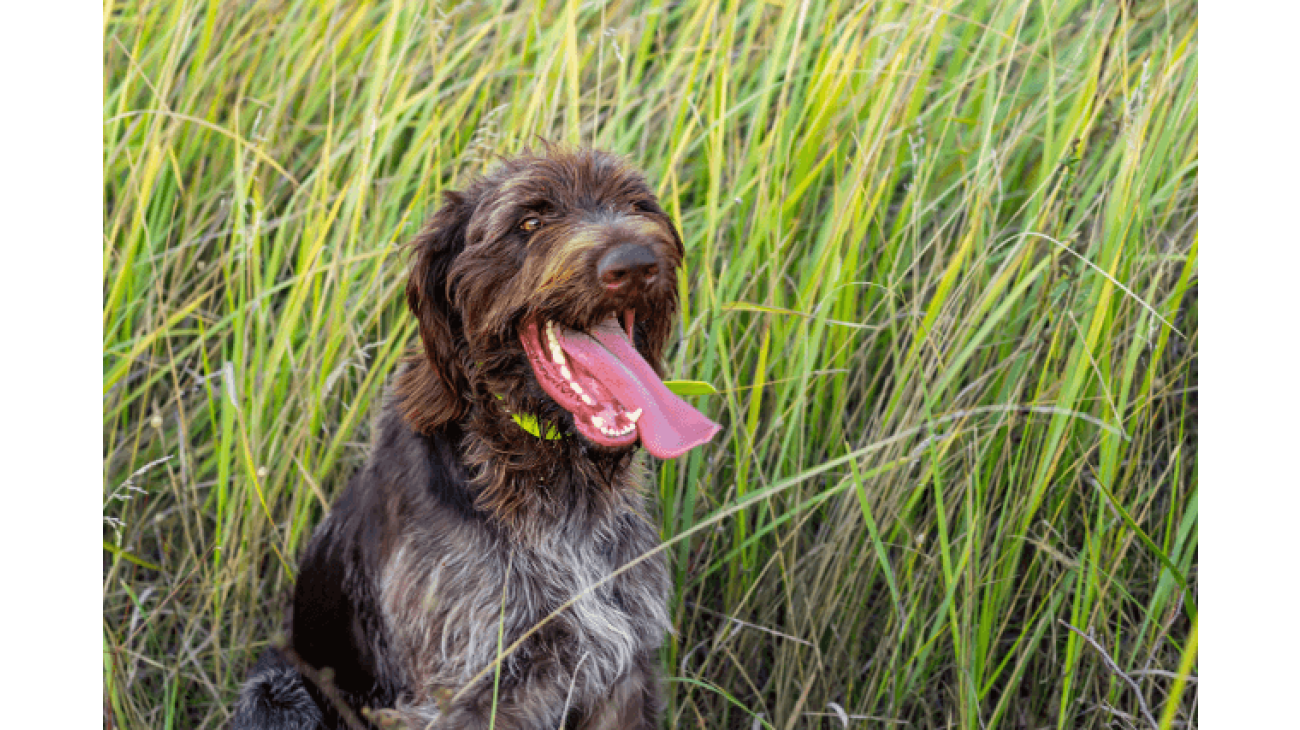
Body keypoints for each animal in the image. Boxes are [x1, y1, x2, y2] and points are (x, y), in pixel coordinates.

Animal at [233, 149, 722, 727]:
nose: (635, 263)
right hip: (276, 691)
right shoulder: (461, 696)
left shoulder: (621, 672)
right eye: (529, 222)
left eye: (637, 205)